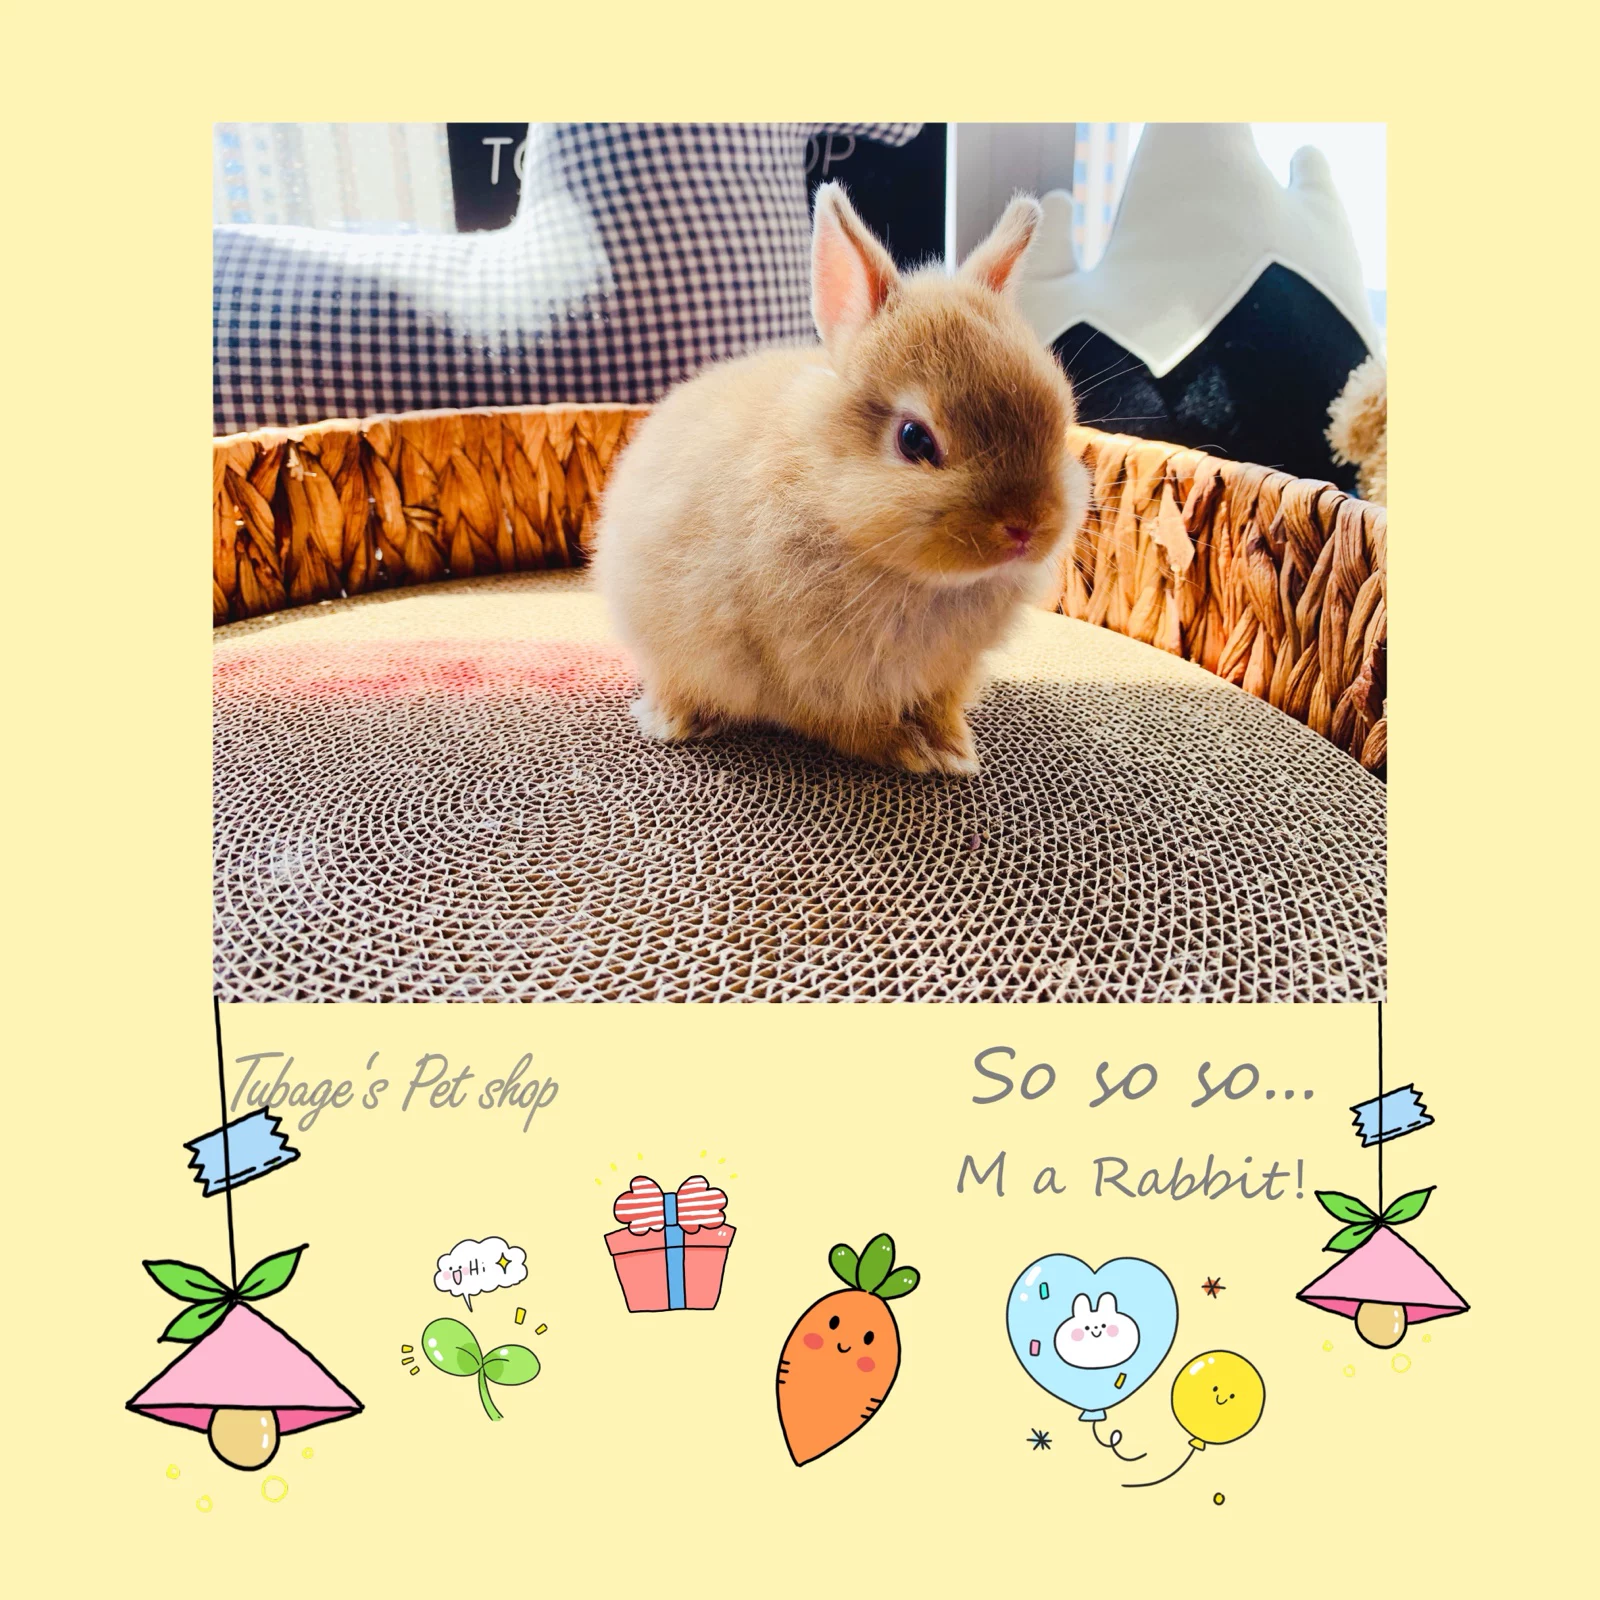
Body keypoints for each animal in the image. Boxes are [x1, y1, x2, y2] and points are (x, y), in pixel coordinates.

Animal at [590, 181, 1089, 776]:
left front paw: (954, 748)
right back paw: (673, 722)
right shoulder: (811, 677)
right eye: (914, 440)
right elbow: (851, 727)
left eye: (1060, 420)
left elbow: (939, 706)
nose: (1026, 527)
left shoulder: (947, 674)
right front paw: (916, 752)